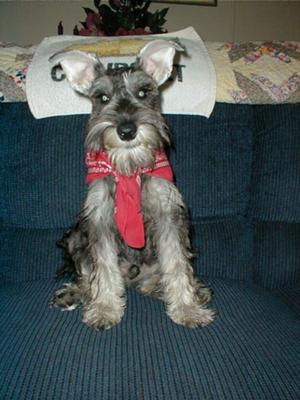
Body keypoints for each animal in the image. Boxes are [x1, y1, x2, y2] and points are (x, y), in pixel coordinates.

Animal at [49, 39, 214, 330]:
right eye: (102, 98)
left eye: (143, 92)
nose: (126, 130)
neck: (129, 168)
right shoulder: (99, 221)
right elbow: (103, 268)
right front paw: (105, 309)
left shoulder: (169, 218)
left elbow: (177, 264)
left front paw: (187, 309)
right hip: (74, 237)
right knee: (87, 275)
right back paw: (74, 293)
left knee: (155, 278)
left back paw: (188, 290)